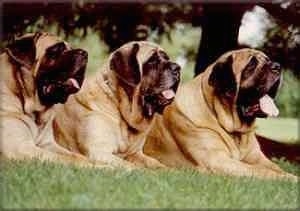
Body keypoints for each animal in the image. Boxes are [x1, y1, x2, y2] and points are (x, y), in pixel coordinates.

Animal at [0, 32, 95, 166]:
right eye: (56, 50)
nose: (84, 53)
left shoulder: (48, 144)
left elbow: (76, 156)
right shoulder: (21, 147)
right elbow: (69, 159)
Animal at [145, 48, 298, 181]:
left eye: (268, 60)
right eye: (251, 64)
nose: (277, 66)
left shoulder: (258, 158)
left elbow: (276, 168)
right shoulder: (217, 160)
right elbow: (261, 170)